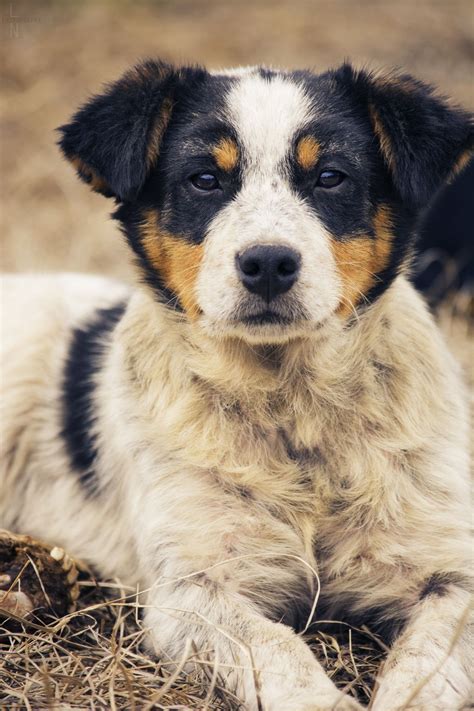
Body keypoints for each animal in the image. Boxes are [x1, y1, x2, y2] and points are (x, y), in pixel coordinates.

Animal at [0, 61, 474, 711]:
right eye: (204, 179)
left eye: (331, 177)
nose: (268, 263)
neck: (292, 406)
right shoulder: (194, 589)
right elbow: (278, 650)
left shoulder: (449, 574)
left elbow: (425, 669)